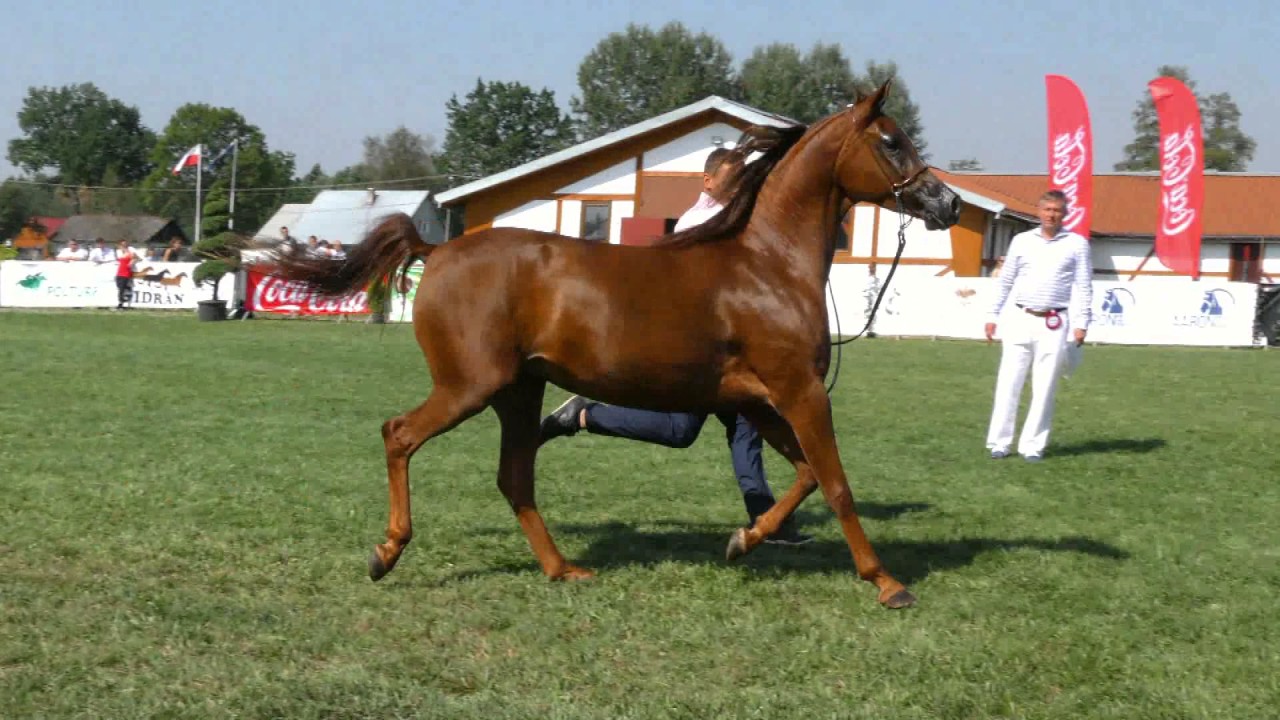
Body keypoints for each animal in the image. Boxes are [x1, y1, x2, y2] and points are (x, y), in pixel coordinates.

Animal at [265, 80, 961, 609]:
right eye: (892, 141)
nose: (947, 203)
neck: (767, 266)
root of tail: (435, 251)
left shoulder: (758, 401)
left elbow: (807, 476)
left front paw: (742, 540)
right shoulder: (799, 391)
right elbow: (836, 482)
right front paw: (887, 583)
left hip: (520, 390)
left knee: (514, 476)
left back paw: (562, 568)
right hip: (470, 386)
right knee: (400, 434)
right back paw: (386, 553)